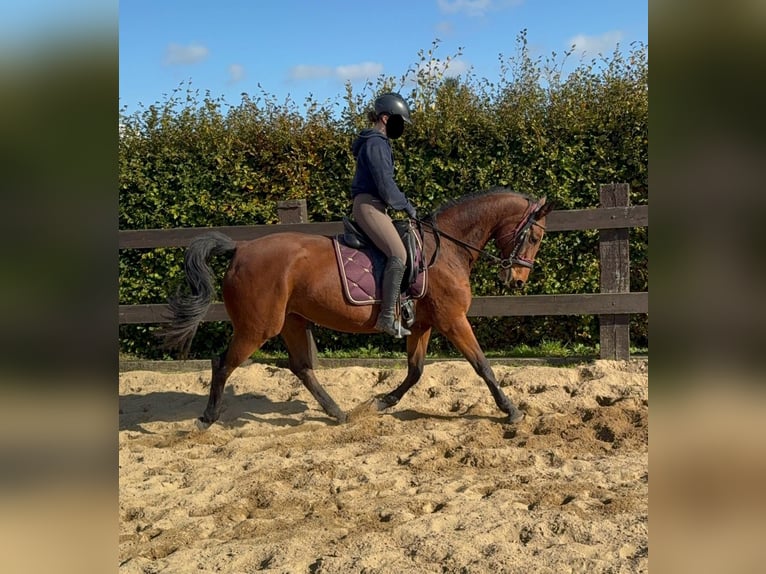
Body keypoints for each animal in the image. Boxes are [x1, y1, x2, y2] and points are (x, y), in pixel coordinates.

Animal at [160, 187, 554, 427]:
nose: (517, 280)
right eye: (535, 236)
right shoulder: (453, 320)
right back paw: (206, 418)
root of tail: (240, 249)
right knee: (223, 363)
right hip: (259, 327)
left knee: (301, 367)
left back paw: (338, 413)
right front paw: (511, 410)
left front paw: (381, 402)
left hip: (292, 321)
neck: (445, 249)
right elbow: (482, 366)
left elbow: (415, 371)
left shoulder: (423, 324)